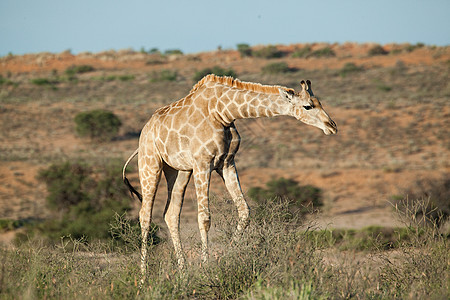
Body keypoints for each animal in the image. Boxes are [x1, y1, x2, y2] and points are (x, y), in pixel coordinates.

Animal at [121, 75, 336, 282]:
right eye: (307, 106)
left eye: (320, 102)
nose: (332, 126)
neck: (223, 112)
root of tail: (144, 131)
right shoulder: (202, 163)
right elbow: (204, 218)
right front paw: (205, 269)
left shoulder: (227, 163)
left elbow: (244, 211)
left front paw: (227, 257)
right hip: (151, 164)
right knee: (145, 215)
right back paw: (143, 278)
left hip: (178, 170)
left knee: (171, 214)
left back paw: (183, 274)